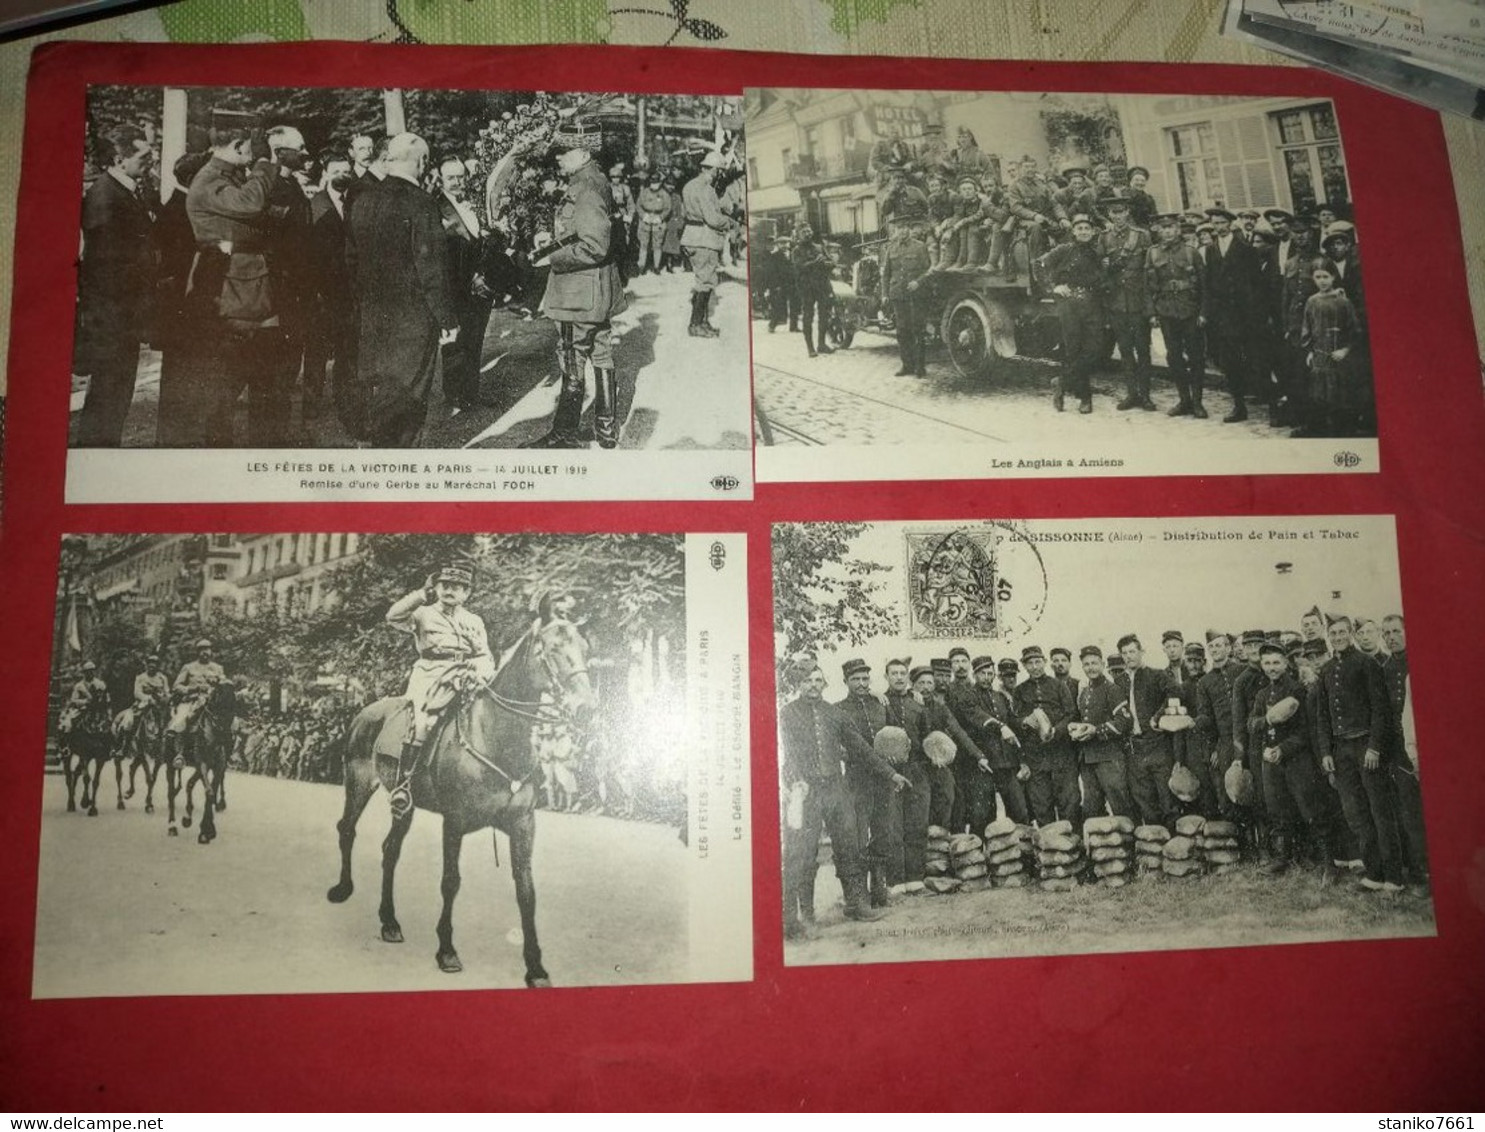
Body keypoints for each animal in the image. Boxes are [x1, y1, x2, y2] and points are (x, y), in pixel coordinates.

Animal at [163, 680, 234, 837]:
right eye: (217, 698)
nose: (227, 738)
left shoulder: (217, 766)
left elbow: (210, 790)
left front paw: (206, 826)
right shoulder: (202, 764)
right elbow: (209, 791)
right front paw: (206, 829)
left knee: (189, 784)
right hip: (170, 765)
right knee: (170, 793)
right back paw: (172, 826)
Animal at [328, 612, 594, 986]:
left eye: (584, 647)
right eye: (552, 649)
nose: (587, 708)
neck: (496, 736)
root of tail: (366, 712)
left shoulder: (523, 824)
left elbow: (526, 891)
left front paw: (536, 967)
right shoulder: (454, 822)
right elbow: (450, 882)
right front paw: (447, 950)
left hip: (405, 806)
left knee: (390, 850)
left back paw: (390, 921)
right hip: (359, 783)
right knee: (347, 829)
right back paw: (343, 888)